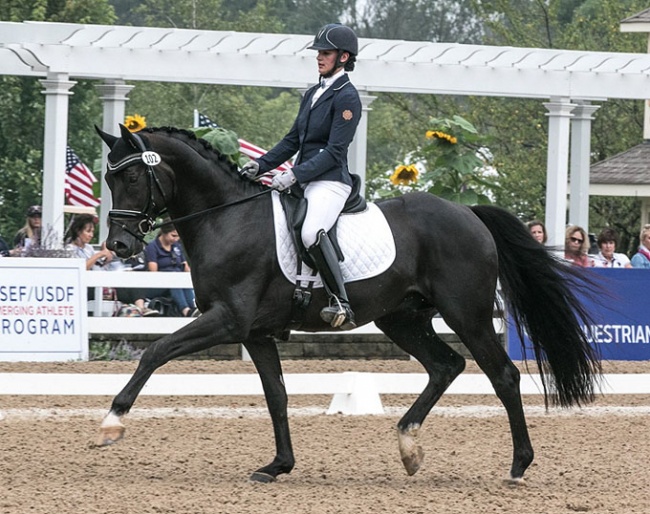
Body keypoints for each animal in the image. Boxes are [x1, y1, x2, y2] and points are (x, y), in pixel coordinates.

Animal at [95, 125, 596, 484]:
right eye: (108, 177)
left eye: (134, 176)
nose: (118, 246)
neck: (227, 218)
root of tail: (468, 212)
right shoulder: (255, 333)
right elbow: (276, 396)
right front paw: (278, 465)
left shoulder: (228, 321)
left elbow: (155, 351)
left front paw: (111, 422)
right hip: (403, 319)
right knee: (446, 366)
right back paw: (409, 447)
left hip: (466, 315)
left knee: (503, 376)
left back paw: (518, 466)